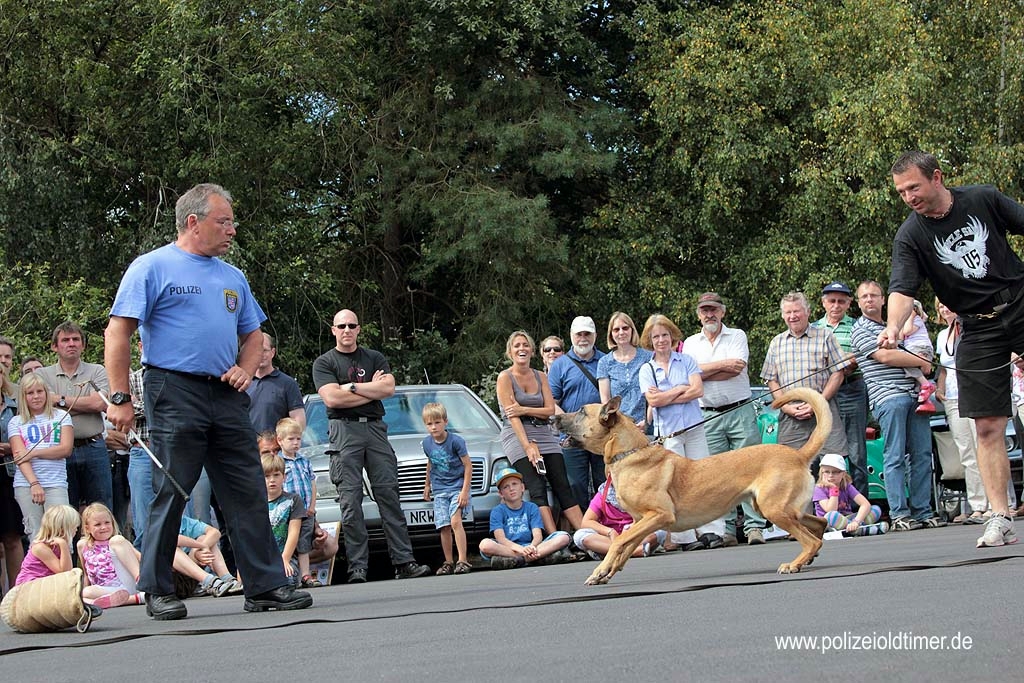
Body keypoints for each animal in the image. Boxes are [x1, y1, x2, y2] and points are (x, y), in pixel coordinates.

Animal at [561, 387, 831, 585]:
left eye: (582, 411)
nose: (553, 417)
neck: (629, 454)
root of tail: (799, 455)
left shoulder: (659, 515)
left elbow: (618, 542)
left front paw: (599, 570)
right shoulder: (640, 521)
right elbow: (625, 547)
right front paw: (606, 573)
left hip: (773, 509)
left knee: (811, 540)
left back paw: (794, 564)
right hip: (780, 509)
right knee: (819, 524)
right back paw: (806, 560)